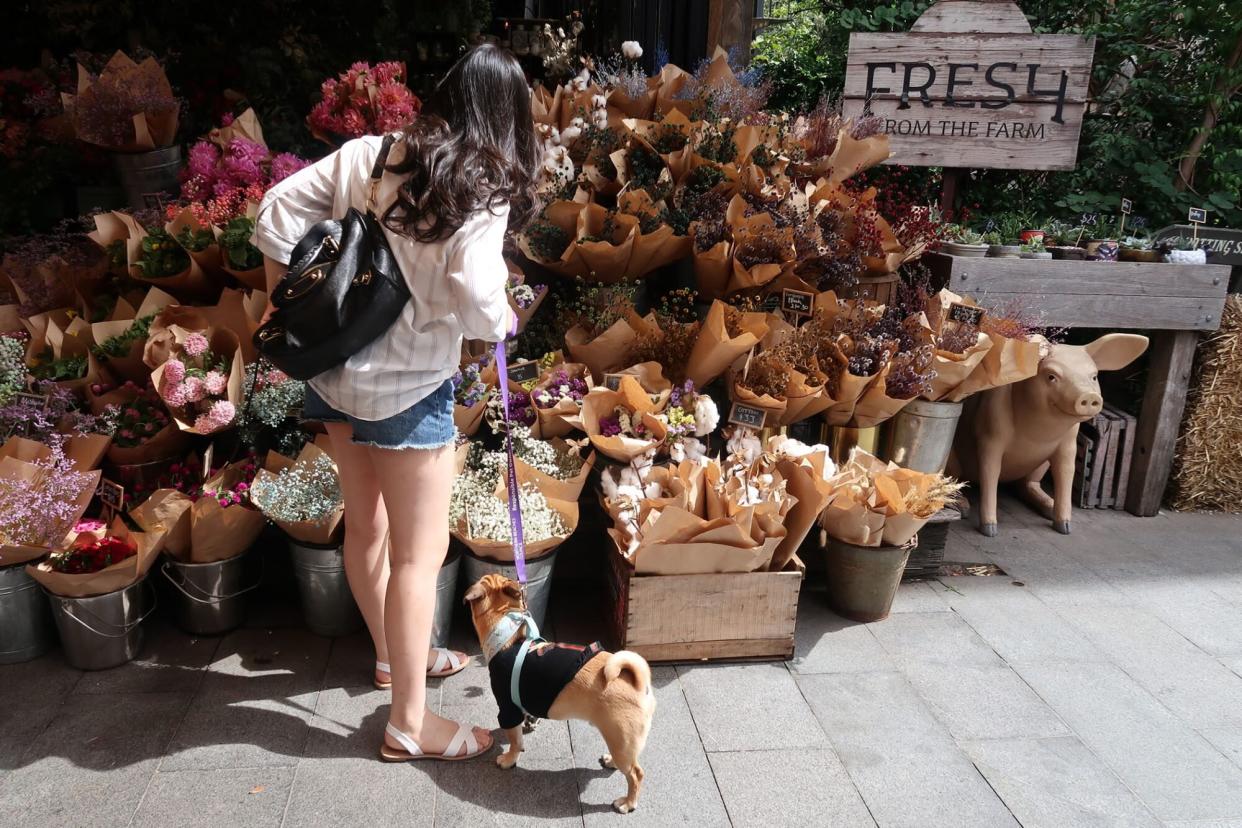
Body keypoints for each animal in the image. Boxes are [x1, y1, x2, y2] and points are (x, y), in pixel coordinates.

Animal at [464, 573, 655, 814]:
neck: (509, 637)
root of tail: (638, 684)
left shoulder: (507, 709)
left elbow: (514, 740)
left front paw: (509, 759)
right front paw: (530, 723)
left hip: (621, 738)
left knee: (635, 774)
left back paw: (627, 803)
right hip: (620, 741)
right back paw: (610, 761)